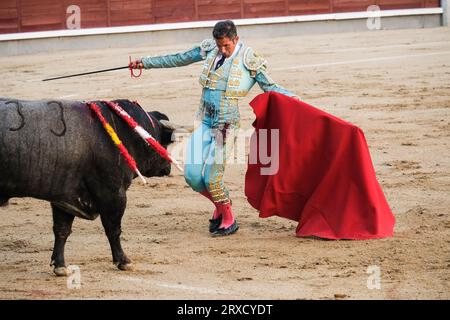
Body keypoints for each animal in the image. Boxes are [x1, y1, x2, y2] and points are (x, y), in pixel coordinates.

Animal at [0, 99, 175, 276]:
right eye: (164, 142)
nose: (168, 168)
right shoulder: (113, 193)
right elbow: (113, 229)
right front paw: (124, 261)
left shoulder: (64, 197)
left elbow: (62, 229)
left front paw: (60, 266)